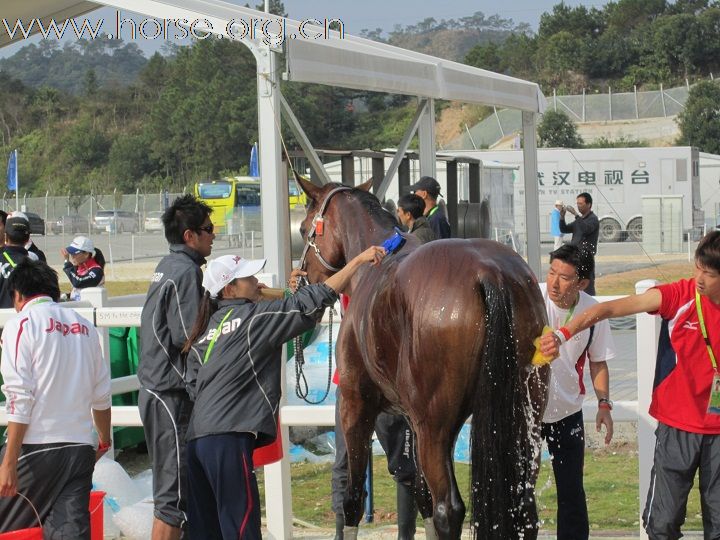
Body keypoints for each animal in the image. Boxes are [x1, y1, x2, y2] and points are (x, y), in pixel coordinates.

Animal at [298, 178, 552, 540]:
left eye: (303, 228)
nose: (303, 276)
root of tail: (490, 273)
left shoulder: (355, 404)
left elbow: (352, 498)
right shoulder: (411, 423)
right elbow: (420, 494)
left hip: (435, 426)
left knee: (449, 509)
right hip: (521, 418)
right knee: (522, 504)